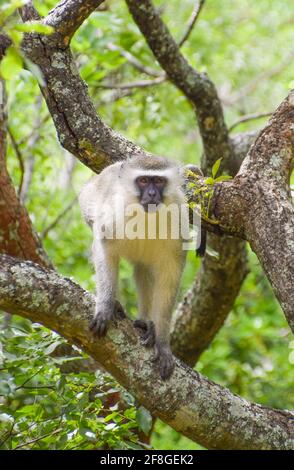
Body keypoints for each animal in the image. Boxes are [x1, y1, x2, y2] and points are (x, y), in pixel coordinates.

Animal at [78, 154, 188, 378]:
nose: (152, 194)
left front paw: (163, 343)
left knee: (143, 269)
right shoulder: (113, 213)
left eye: (159, 181)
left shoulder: (179, 216)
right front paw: (105, 306)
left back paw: (146, 323)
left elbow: (169, 275)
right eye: (143, 181)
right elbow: (104, 248)